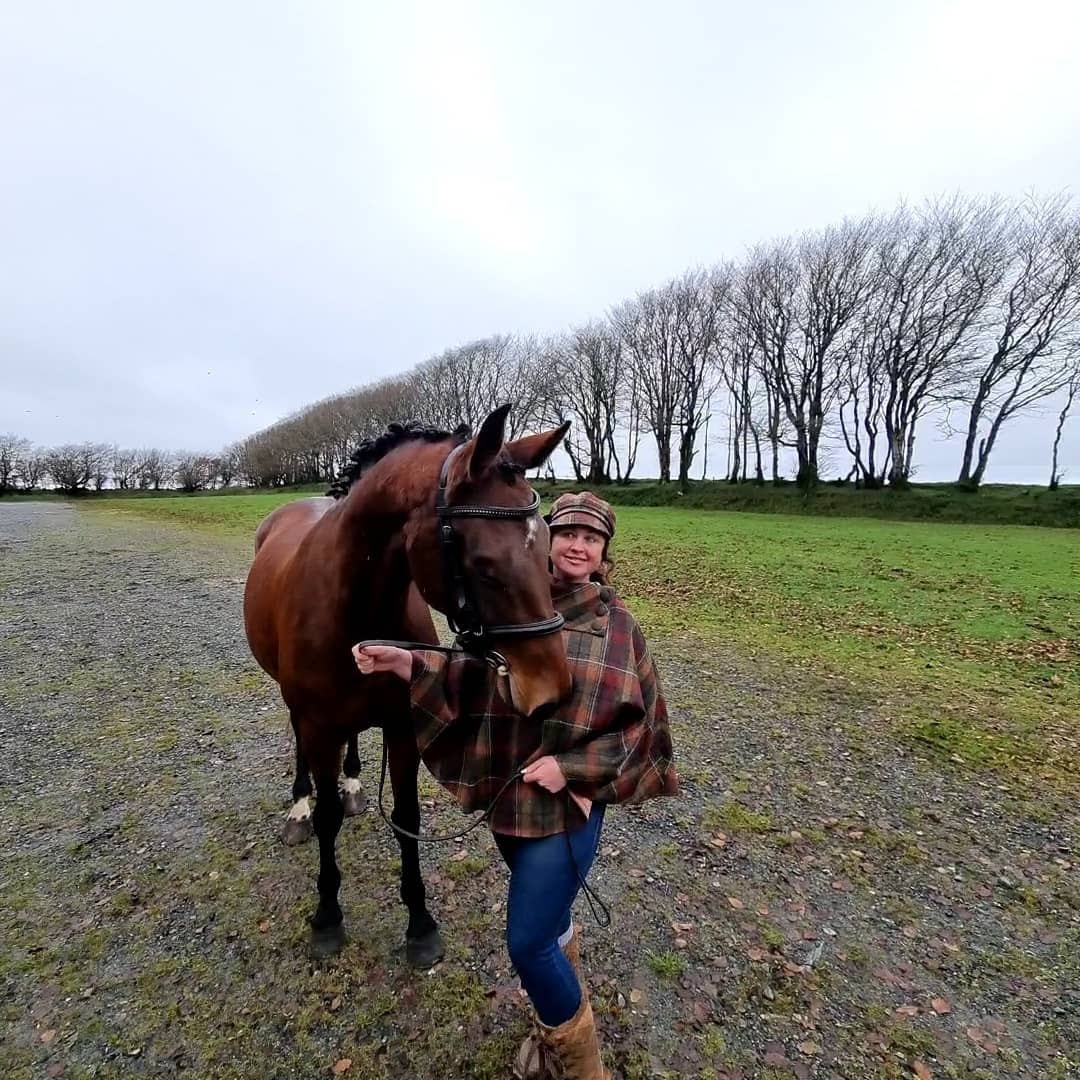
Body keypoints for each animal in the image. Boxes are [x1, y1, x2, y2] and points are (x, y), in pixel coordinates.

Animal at [243, 405, 572, 962]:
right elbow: (328, 819)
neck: (353, 604)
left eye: (548, 547)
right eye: (484, 565)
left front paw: (419, 921)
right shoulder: (320, 726)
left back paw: (354, 784)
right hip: (302, 714)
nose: (550, 686)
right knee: (301, 750)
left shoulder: (401, 727)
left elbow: (407, 817)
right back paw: (299, 805)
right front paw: (327, 916)